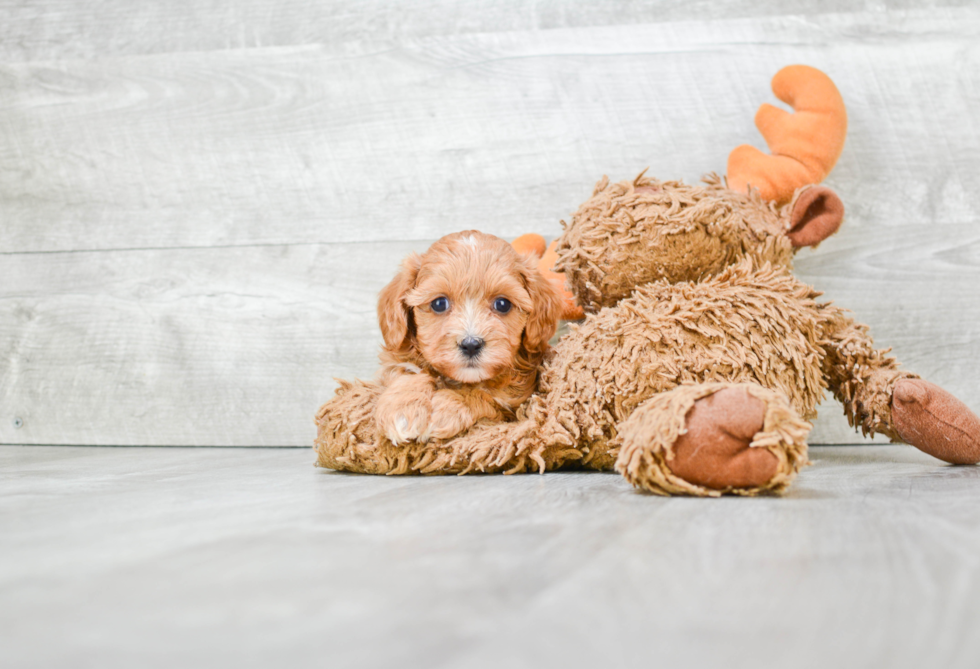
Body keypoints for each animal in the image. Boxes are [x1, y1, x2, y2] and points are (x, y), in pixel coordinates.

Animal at [374, 230, 560, 444]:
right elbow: (407, 371)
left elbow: (483, 396)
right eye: (439, 303)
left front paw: (447, 408)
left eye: (502, 304)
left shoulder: (514, 403)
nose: (471, 345)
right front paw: (402, 408)